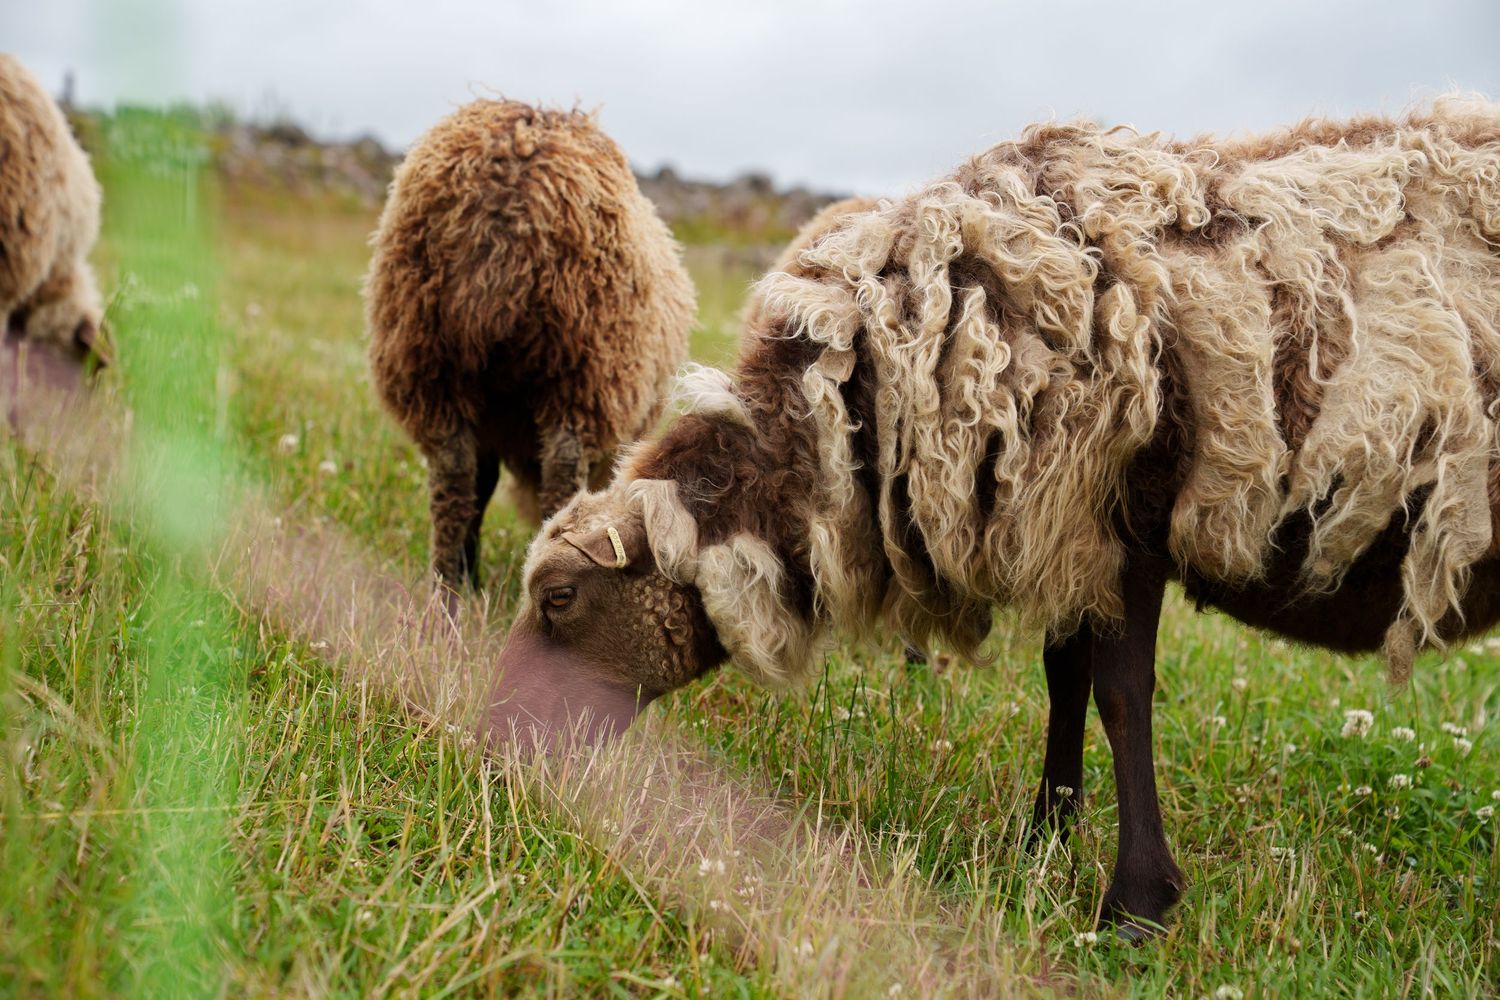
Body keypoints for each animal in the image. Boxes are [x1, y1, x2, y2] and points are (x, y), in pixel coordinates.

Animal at [365, 99, 695, 589]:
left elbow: (480, 484)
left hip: (431, 359)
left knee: (453, 477)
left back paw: (448, 586)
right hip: (581, 368)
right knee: (560, 475)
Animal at [489, 97, 1500, 935]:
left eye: (560, 599)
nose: (489, 751)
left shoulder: (1118, 516)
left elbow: (1120, 695)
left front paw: (1135, 905)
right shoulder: (1066, 529)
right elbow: (1066, 679)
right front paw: (1044, 838)